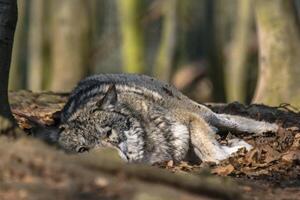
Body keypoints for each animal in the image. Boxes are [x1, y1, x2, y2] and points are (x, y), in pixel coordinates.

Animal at [34, 74, 278, 164]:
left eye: (109, 133)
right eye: (82, 150)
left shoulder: (190, 119)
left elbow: (209, 151)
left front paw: (233, 151)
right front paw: (232, 148)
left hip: (200, 110)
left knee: (226, 118)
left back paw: (269, 128)